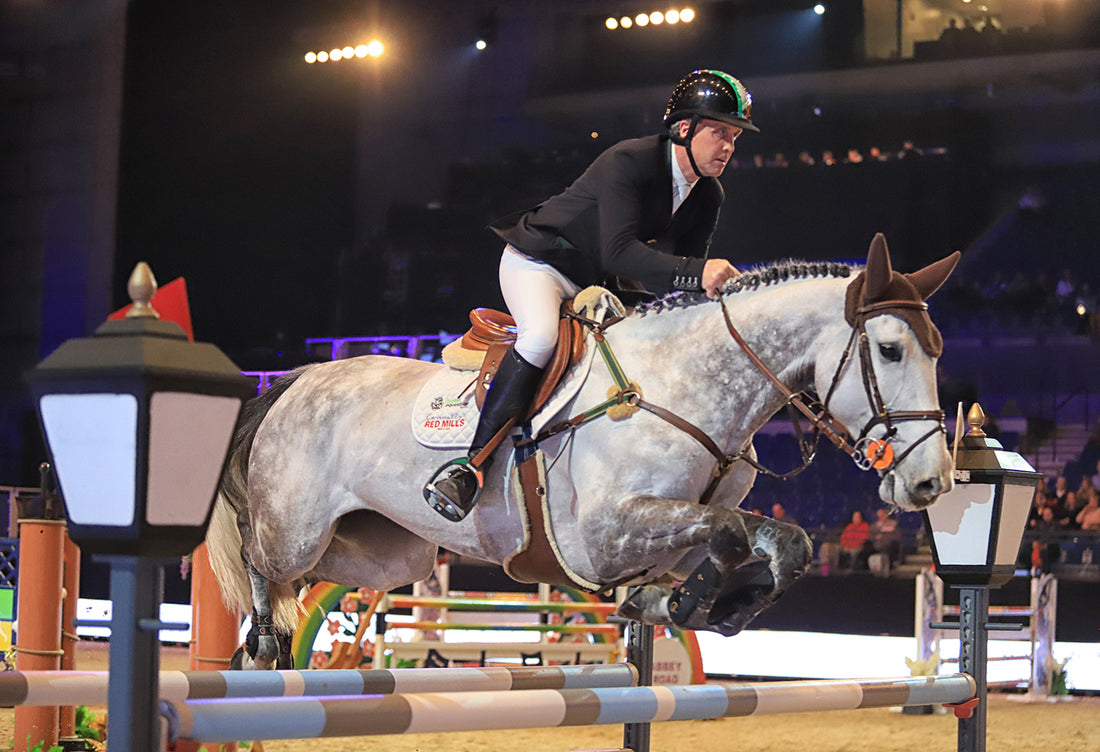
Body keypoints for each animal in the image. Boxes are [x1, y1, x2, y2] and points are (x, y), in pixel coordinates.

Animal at [207, 235, 963, 668]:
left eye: (938, 351)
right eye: (890, 350)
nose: (932, 485)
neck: (685, 386)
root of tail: (297, 378)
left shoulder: (665, 533)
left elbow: (780, 541)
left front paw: (695, 605)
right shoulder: (602, 536)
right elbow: (725, 531)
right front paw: (688, 605)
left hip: (388, 553)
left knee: (312, 580)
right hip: (297, 527)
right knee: (257, 554)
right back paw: (263, 639)